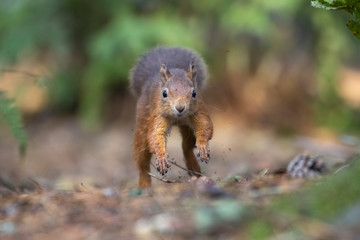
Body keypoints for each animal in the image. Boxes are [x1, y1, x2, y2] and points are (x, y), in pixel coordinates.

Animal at [130, 47, 212, 188]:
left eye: (194, 93)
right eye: (164, 93)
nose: (180, 108)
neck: (176, 117)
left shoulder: (198, 111)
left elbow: (205, 126)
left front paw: (202, 146)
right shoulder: (159, 116)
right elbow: (155, 135)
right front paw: (162, 158)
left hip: (188, 129)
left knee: (186, 147)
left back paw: (194, 169)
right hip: (142, 124)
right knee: (142, 161)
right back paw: (145, 185)